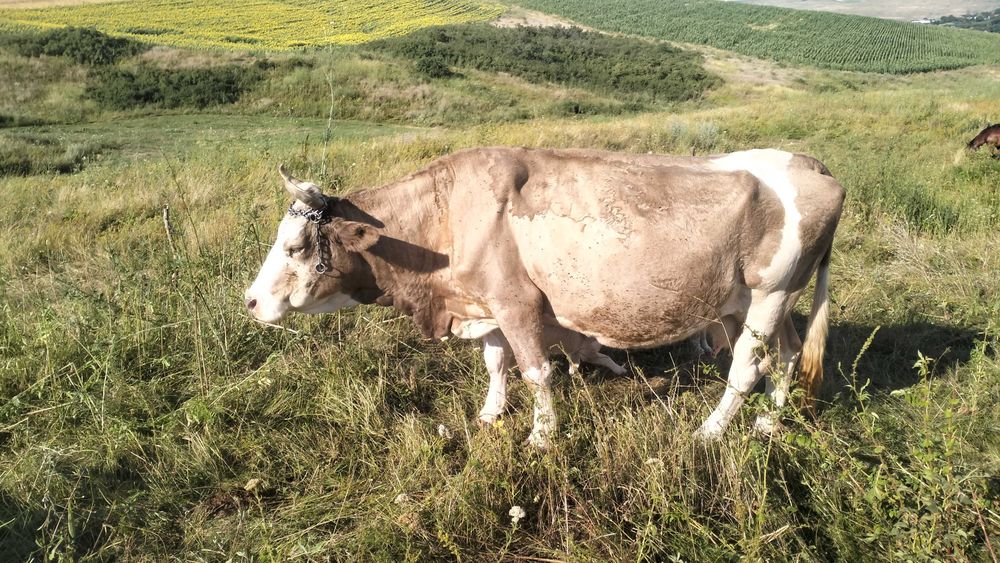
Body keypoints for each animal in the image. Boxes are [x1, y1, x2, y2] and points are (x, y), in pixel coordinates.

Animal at [245, 147, 845, 448]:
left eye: (295, 246)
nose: (250, 302)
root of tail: (812, 165)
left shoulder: (516, 303)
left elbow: (536, 371)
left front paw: (541, 435)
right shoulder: (485, 304)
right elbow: (495, 363)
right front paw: (491, 414)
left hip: (770, 293)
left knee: (747, 366)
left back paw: (711, 431)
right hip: (762, 300)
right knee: (787, 353)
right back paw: (769, 421)